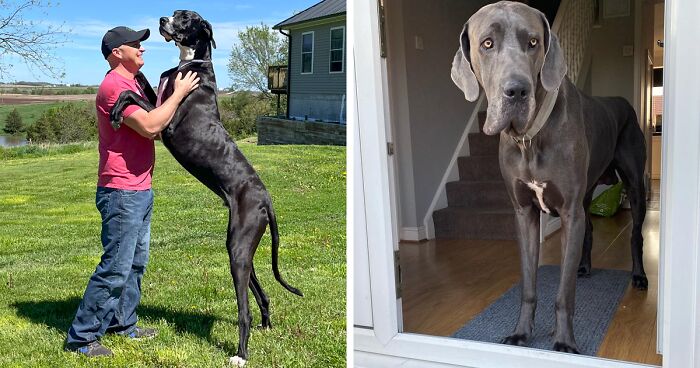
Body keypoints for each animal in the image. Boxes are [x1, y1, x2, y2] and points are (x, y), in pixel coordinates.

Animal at [110, 10, 302, 366]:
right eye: (176, 13)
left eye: (186, 18)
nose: (162, 18)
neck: (191, 62)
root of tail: (266, 199)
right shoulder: (159, 101)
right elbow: (141, 86)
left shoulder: (166, 123)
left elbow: (132, 95)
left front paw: (116, 110)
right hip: (240, 246)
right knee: (261, 291)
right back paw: (266, 323)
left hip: (238, 248)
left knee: (244, 311)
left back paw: (241, 354)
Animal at [452, 1, 648, 356]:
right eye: (486, 43)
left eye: (533, 42)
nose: (517, 90)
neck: (531, 139)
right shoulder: (525, 213)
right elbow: (528, 286)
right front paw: (520, 333)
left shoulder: (569, 211)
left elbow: (563, 293)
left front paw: (565, 342)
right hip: (586, 193)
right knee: (590, 229)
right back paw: (584, 267)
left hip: (634, 183)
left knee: (635, 234)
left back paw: (639, 277)